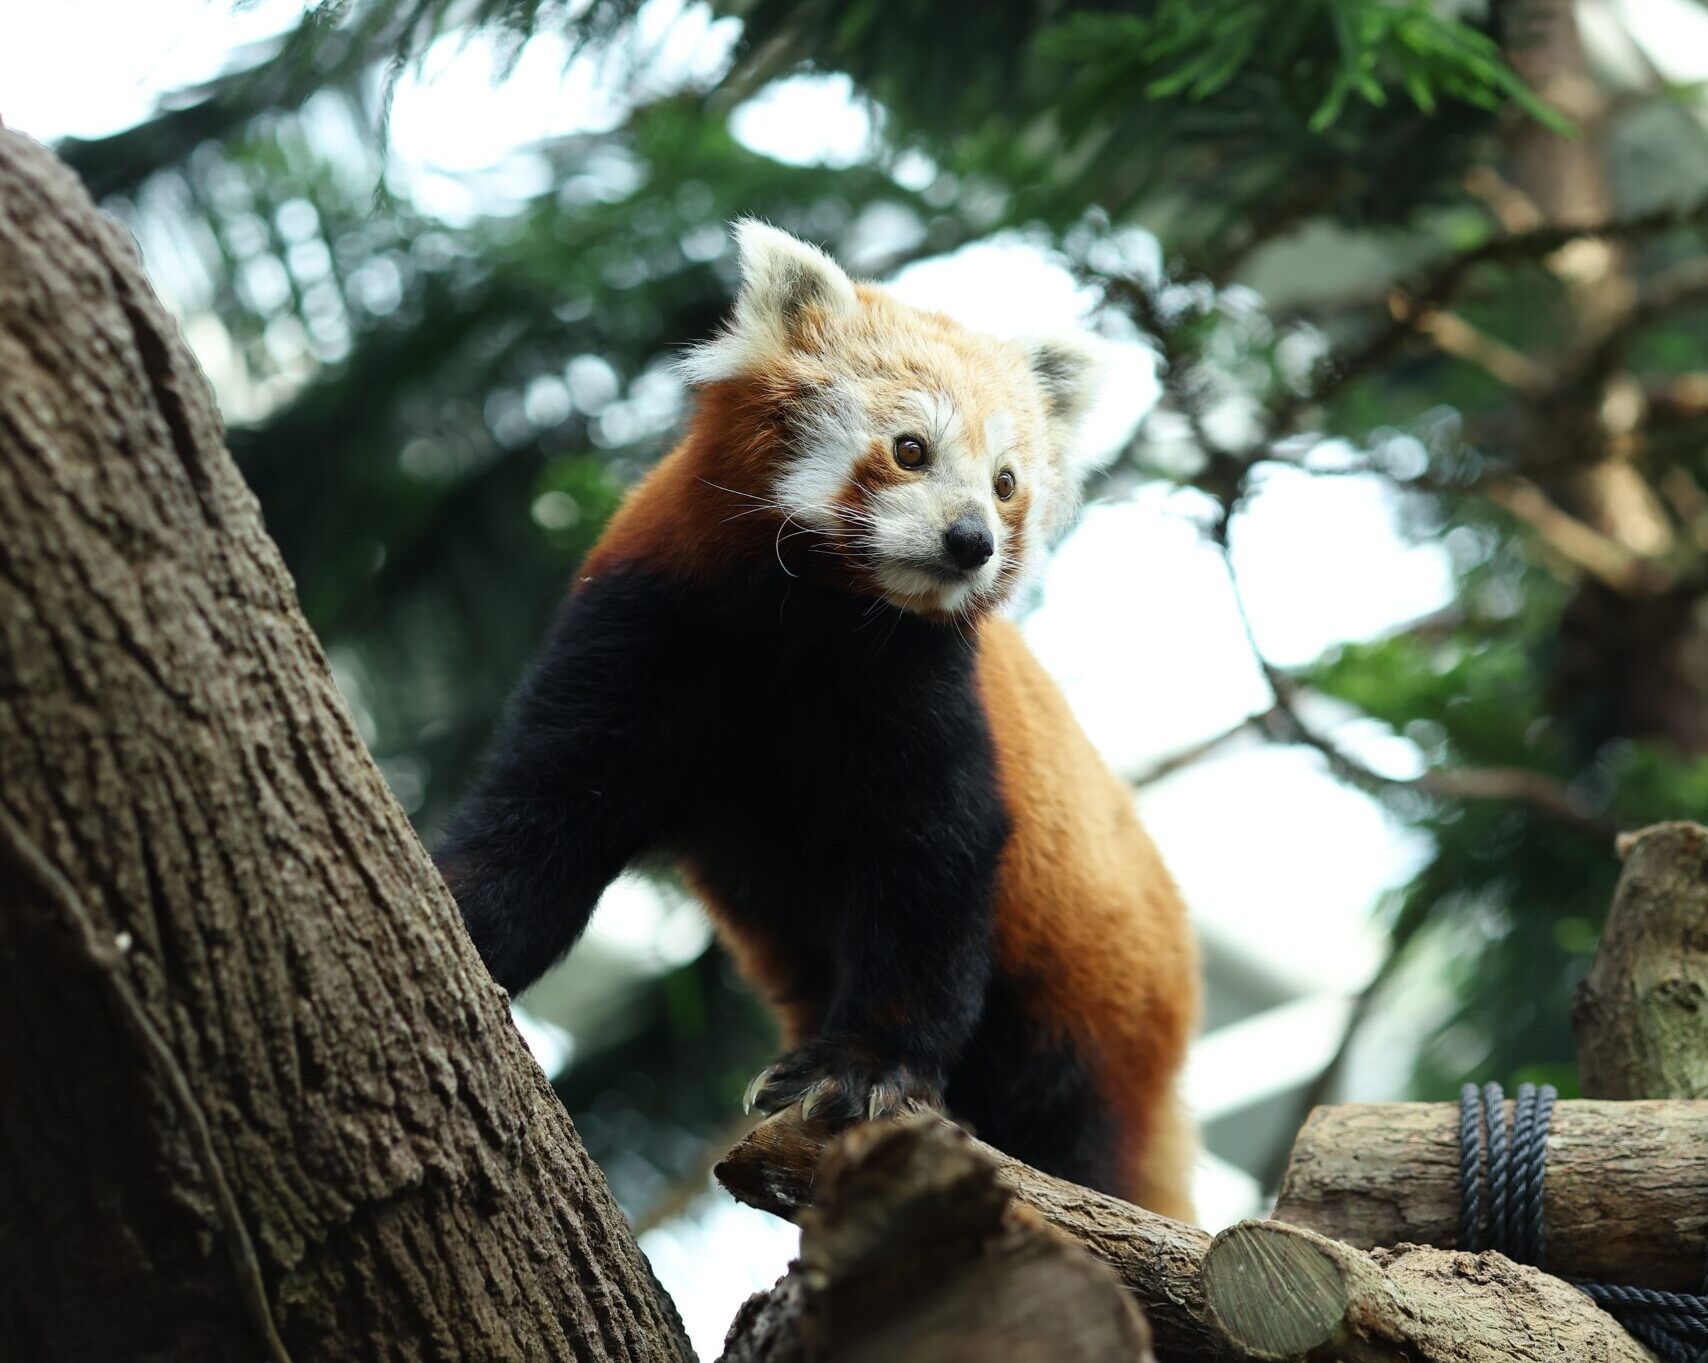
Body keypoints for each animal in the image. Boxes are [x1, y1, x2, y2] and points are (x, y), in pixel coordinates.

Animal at [440, 222, 1202, 1216]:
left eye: (1005, 483)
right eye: (910, 449)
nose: (971, 541)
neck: (808, 622)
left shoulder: (924, 686)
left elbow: (935, 863)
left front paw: (860, 1070)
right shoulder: (643, 624)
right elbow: (548, 808)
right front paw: (464, 916)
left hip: (1089, 1000)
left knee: (1072, 1123)